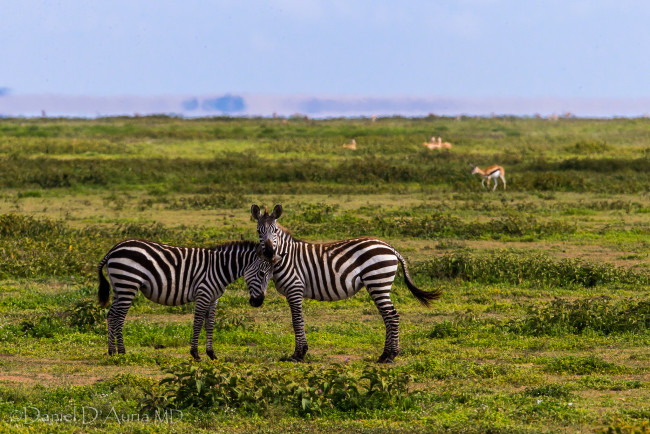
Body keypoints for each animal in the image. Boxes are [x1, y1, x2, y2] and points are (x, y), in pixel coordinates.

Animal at [96, 239, 270, 362]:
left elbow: (210, 324)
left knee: (111, 315)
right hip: (128, 284)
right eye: (262, 274)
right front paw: (195, 354)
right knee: (119, 317)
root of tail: (113, 249)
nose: (258, 302)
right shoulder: (203, 294)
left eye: (271, 276)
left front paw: (211, 354)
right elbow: (198, 323)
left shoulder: (213, 298)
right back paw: (122, 352)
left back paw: (111, 351)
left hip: (119, 287)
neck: (220, 267)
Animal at [247, 204, 440, 362]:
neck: (286, 258)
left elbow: (297, 321)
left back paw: (389, 356)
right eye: (258, 231)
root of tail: (390, 247)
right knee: (388, 316)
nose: (270, 252)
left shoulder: (295, 288)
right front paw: (300, 352)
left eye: (275, 231)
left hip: (378, 282)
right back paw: (386, 354)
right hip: (379, 284)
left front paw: (298, 354)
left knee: (391, 315)